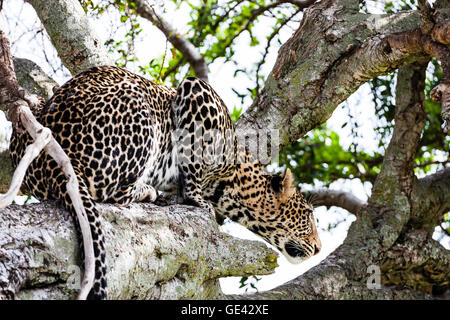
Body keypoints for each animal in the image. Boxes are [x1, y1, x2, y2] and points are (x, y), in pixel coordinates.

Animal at [8, 65, 322, 300]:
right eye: (308, 215)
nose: (319, 248)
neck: (231, 182)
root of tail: (45, 156)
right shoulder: (197, 92)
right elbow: (193, 164)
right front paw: (198, 200)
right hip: (136, 112)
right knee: (107, 190)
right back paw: (147, 191)